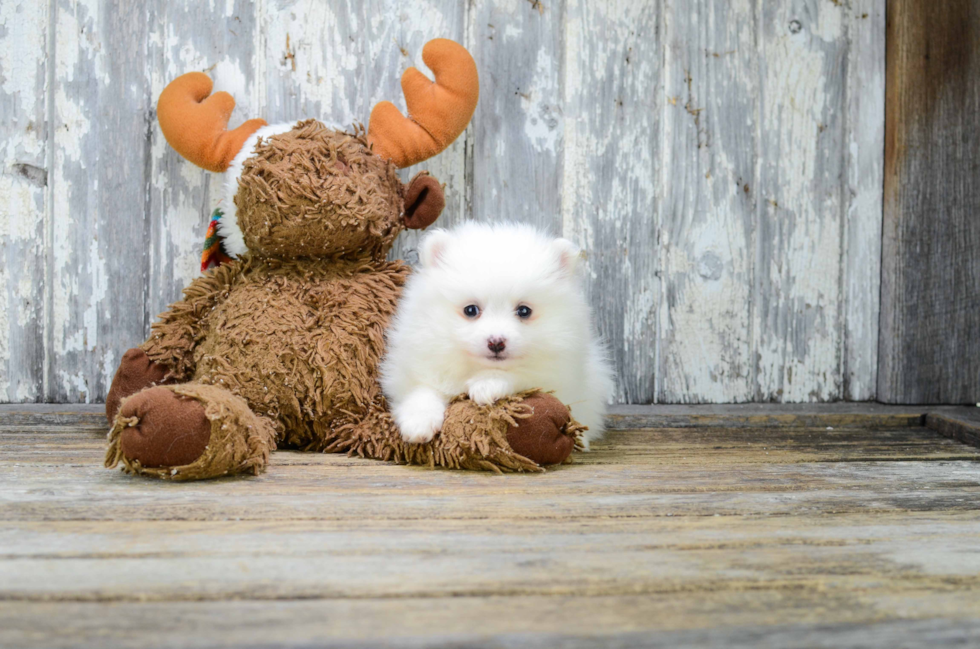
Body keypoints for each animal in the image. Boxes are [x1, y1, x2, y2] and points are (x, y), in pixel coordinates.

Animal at [380, 220, 612, 448]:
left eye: (524, 311)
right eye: (470, 310)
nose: (496, 342)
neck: (475, 368)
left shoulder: (559, 374)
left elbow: (523, 375)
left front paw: (488, 384)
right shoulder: (415, 366)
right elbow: (421, 390)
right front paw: (418, 423)